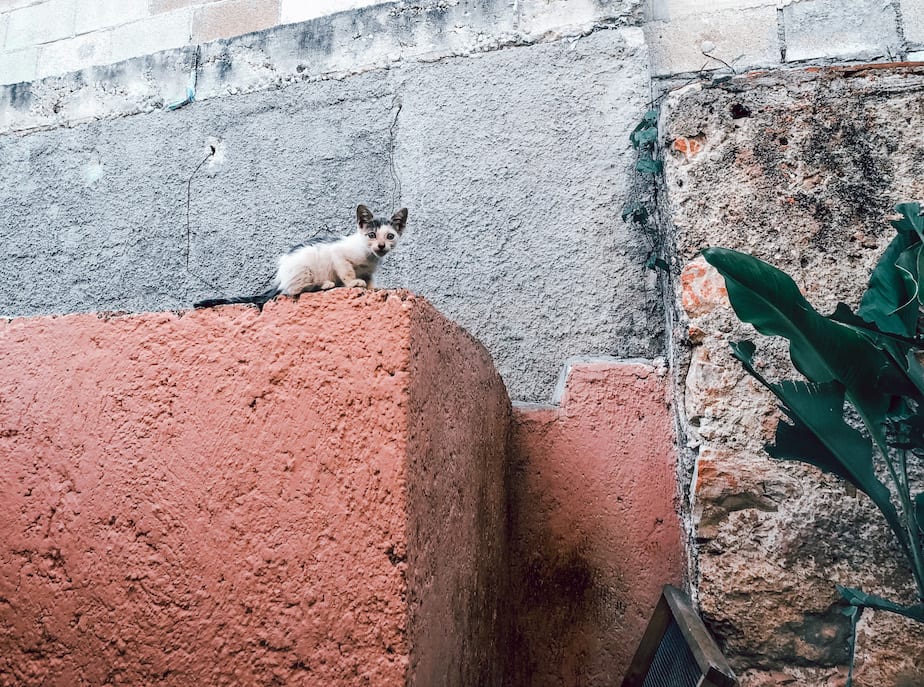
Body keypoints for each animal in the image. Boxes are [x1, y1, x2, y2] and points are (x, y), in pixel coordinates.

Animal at [195, 204, 408, 310]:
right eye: (371, 235)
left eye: (390, 236)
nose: (381, 246)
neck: (370, 257)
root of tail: (281, 277)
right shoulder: (338, 254)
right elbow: (346, 271)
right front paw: (353, 283)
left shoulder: (370, 270)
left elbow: (370, 279)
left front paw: (373, 288)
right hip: (304, 269)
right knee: (293, 290)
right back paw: (324, 284)